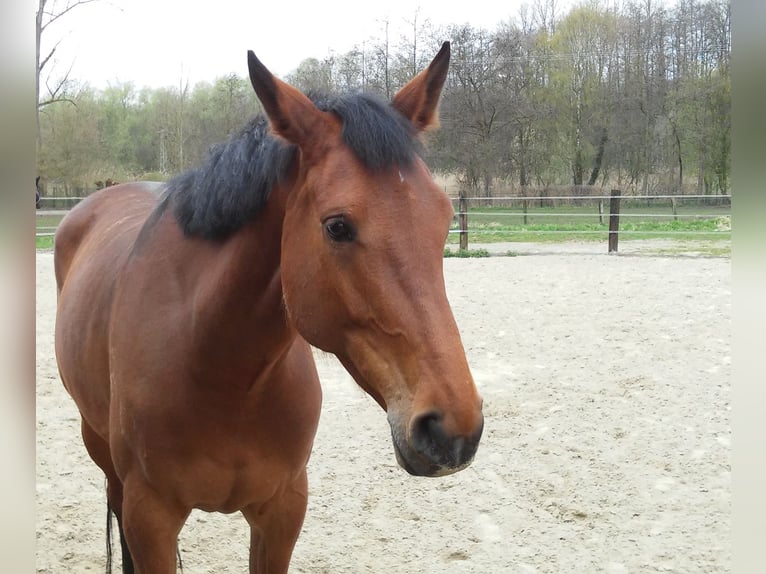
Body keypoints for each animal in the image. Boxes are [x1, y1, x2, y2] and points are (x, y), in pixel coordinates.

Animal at [53, 41, 484, 573]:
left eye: (443, 217)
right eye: (337, 226)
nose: (452, 429)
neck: (221, 372)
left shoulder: (283, 510)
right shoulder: (149, 515)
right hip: (104, 458)